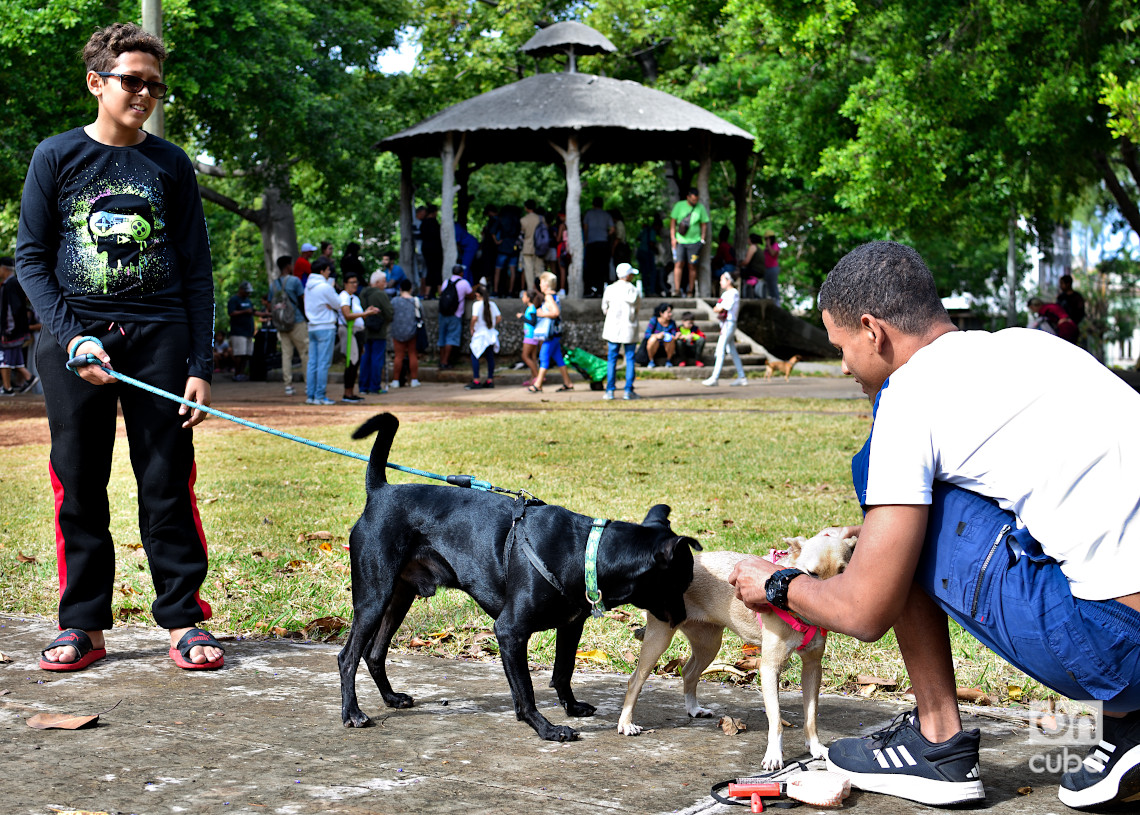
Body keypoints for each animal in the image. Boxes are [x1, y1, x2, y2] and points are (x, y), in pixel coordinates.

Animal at [332, 417, 697, 743]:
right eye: (680, 585)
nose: (684, 618)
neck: (587, 551)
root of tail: (379, 492)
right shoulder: (510, 632)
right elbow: (526, 692)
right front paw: (546, 728)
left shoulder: (570, 626)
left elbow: (563, 671)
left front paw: (570, 706)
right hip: (374, 598)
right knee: (348, 657)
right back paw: (352, 713)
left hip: (398, 598)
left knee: (374, 654)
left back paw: (391, 699)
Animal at [620, 528, 852, 770]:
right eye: (812, 574)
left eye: (843, 573)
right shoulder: (770, 669)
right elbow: (776, 719)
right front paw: (774, 754)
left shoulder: (812, 667)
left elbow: (811, 715)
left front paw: (815, 746)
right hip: (659, 639)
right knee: (635, 680)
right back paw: (626, 723)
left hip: (709, 643)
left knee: (689, 672)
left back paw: (693, 708)